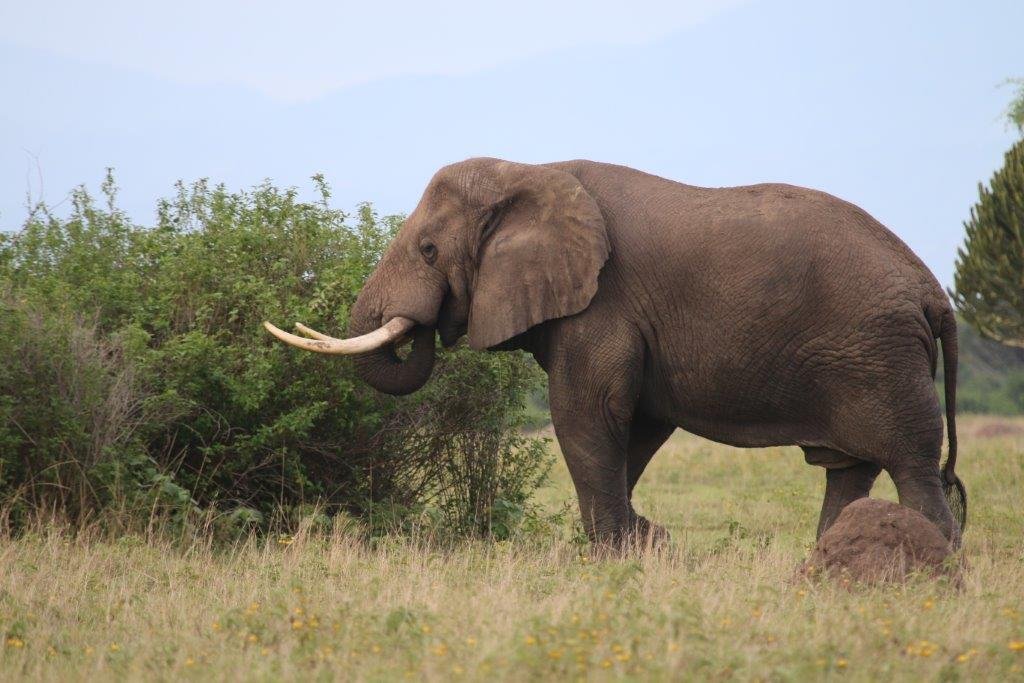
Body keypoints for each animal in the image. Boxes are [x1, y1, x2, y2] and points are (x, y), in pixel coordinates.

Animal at [265, 158, 966, 551]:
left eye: (430, 250)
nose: (424, 326)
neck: (529, 171)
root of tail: (935, 293)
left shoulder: (601, 301)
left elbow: (588, 414)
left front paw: (616, 553)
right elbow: (635, 427)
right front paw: (645, 543)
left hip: (877, 356)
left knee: (910, 465)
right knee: (848, 469)